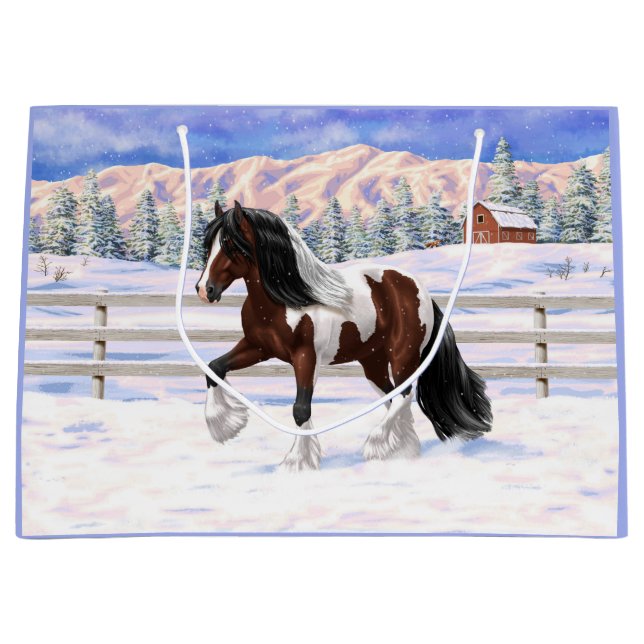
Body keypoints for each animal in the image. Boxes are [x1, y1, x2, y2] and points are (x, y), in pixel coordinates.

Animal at [195, 200, 492, 471]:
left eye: (231, 245)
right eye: (209, 245)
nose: (204, 290)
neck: (286, 298)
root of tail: (420, 290)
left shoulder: (305, 357)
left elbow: (300, 409)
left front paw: (298, 462)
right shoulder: (257, 347)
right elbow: (215, 368)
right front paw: (225, 425)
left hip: (403, 355)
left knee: (404, 393)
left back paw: (378, 445)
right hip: (373, 361)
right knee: (393, 397)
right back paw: (403, 450)